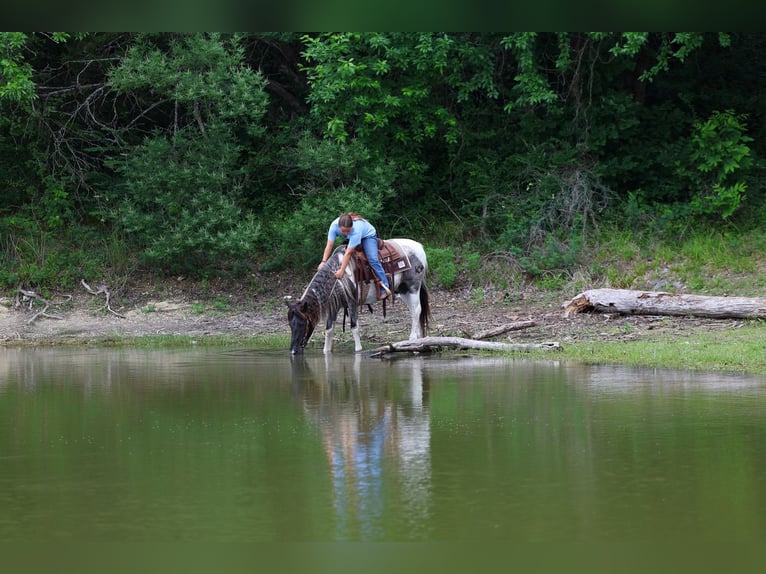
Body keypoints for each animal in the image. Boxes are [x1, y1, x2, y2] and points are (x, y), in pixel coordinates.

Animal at [286, 238, 431, 354]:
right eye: (290, 324)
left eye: (302, 323)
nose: (293, 351)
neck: (338, 279)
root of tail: (419, 247)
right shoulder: (333, 306)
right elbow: (329, 329)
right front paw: (326, 351)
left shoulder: (352, 302)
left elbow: (354, 327)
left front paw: (358, 350)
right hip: (403, 290)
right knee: (414, 311)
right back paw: (418, 339)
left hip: (413, 287)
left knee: (416, 310)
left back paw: (412, 338)